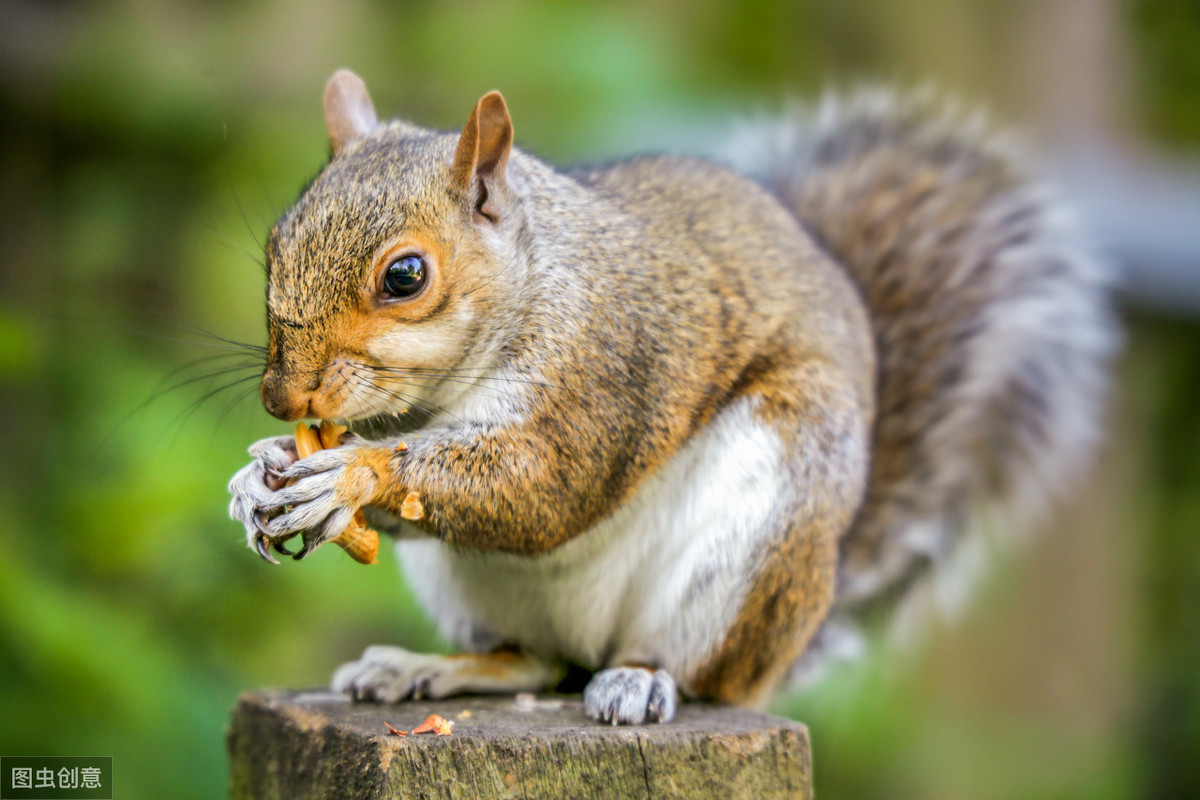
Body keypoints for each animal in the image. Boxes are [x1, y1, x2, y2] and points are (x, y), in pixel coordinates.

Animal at [226, 70, 1113, 724]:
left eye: (406, 276)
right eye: (277, 240)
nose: (281, 397)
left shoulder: (609, 367)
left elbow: (543, 485)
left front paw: (351, 474)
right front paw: (258, 474)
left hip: (765, 522)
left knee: (697, 672)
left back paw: (643, 679)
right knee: (534, 660)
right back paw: (426, 667)